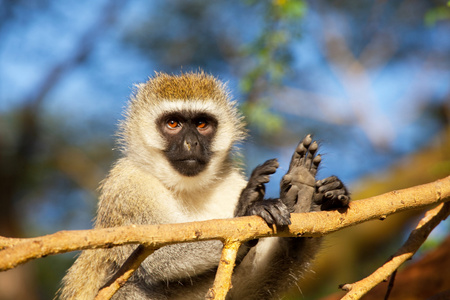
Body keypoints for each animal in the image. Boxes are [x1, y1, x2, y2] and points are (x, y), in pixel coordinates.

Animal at [58, 71, 350, 300]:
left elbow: (245, 290)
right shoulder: (128, 186)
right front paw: (247, 210)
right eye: (173, 123)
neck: (185, 187)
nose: (191, 143)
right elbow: (156, 256)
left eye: (201, 124)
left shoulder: (229, 181)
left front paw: (304, 200)